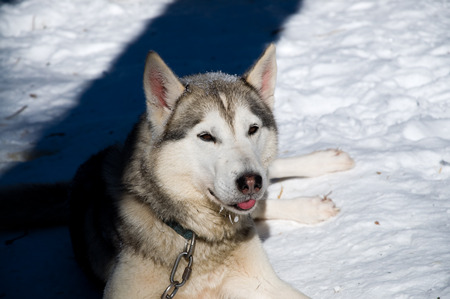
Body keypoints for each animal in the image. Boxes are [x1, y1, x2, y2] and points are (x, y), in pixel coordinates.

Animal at [0, 43, 356, 298]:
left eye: (252, 129)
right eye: (206, 136)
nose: (250, 182)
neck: (192, 235)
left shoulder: (262, 283)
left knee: (270, 181)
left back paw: (327, 165)